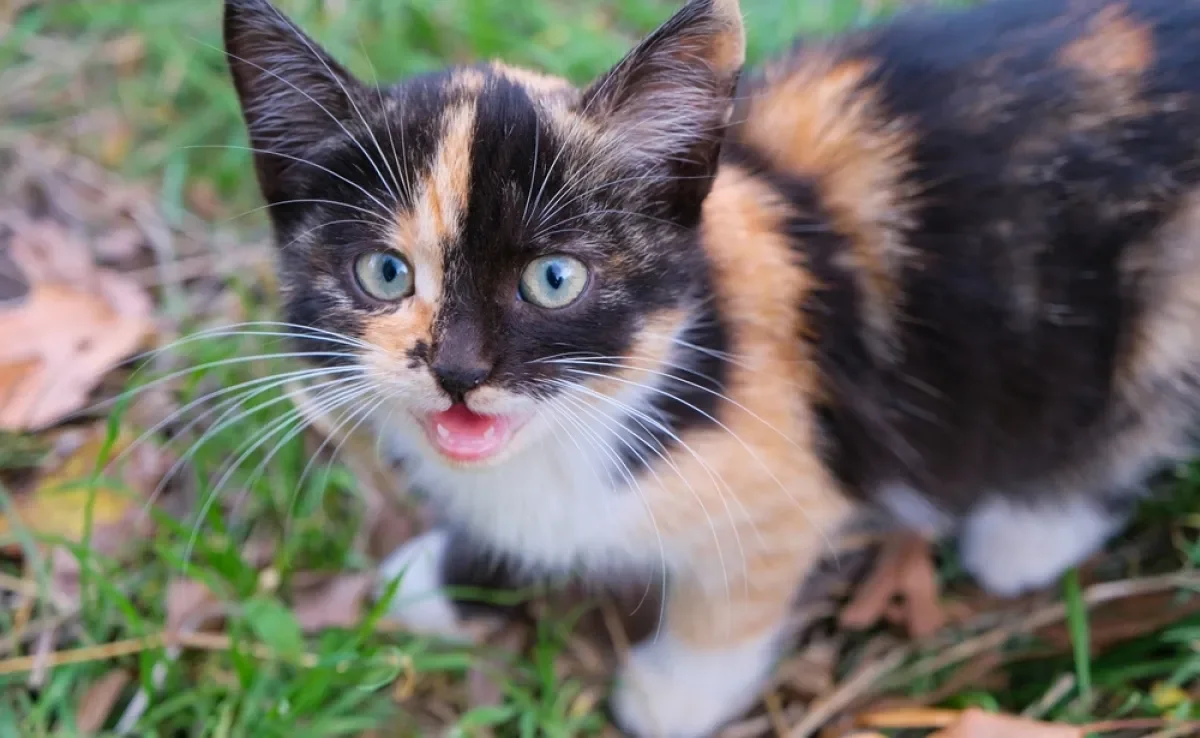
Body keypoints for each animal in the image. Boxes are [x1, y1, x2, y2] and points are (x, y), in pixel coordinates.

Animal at [226, 0, 1200, 734]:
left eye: (554, 279)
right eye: (386, 274)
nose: (460, 371)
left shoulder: (788, 468)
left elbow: (737, 590)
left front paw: (673, 692)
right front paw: (436, 582)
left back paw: (1031, 531)